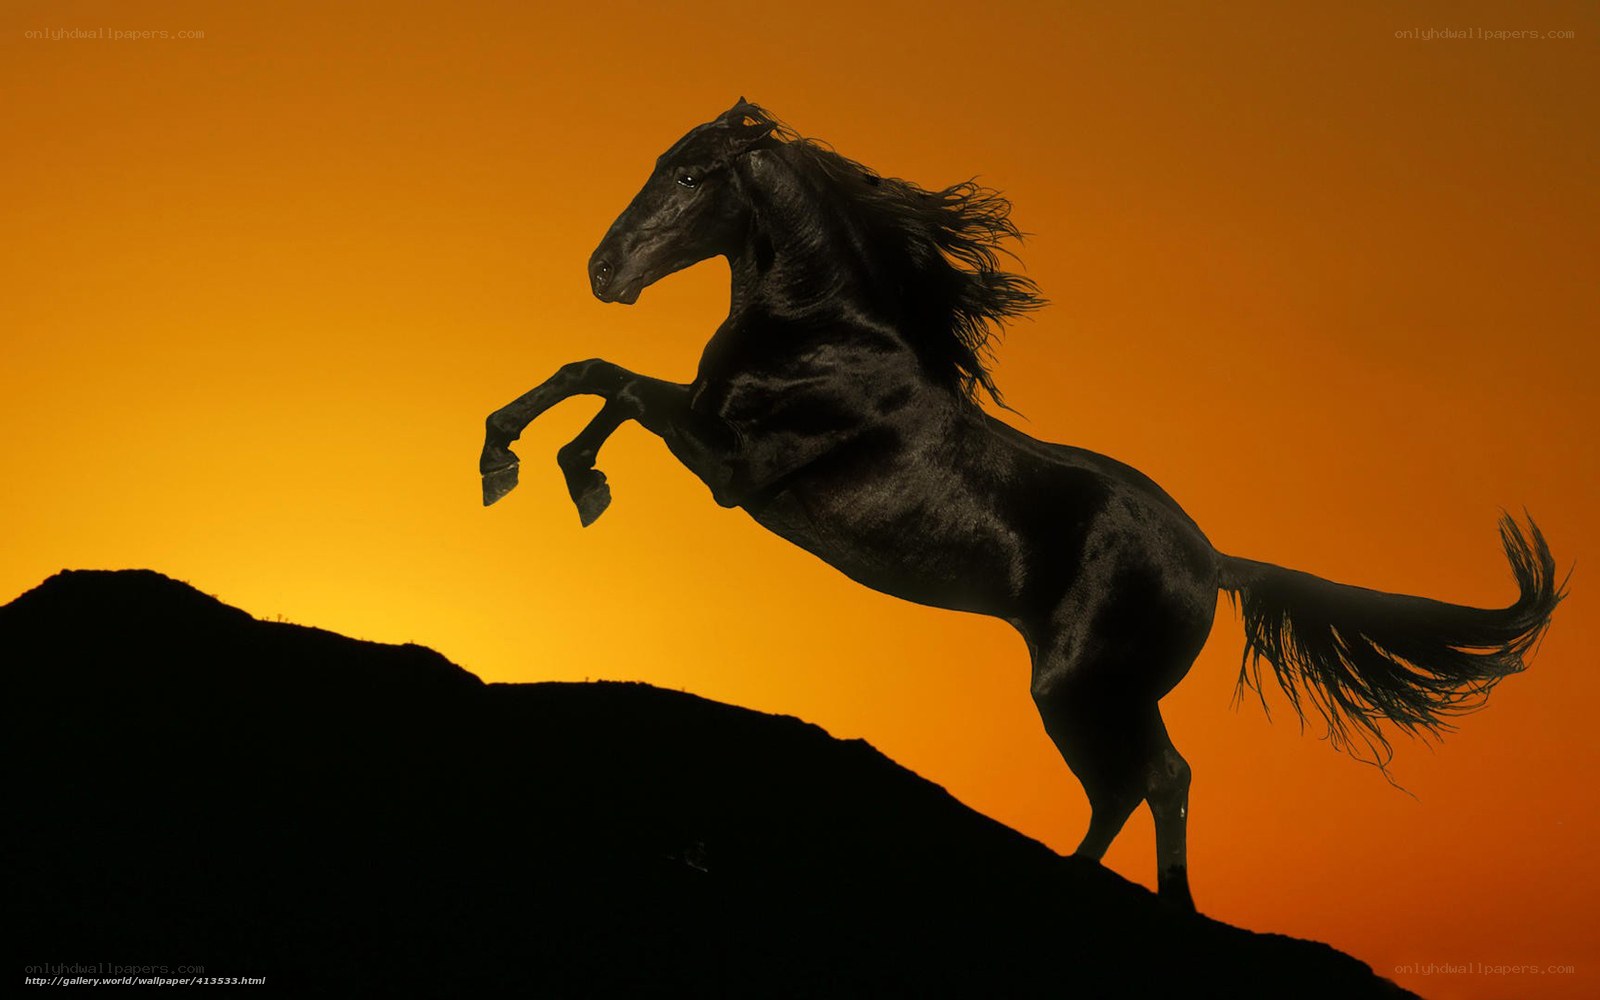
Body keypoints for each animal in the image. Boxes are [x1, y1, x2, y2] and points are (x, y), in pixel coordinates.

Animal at [479, 99, 1562, 910]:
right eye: (663, 163)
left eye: (693, 177)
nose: (603, 271)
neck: (822, 333)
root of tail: (1214, 560)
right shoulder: (709, 435)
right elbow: (590, 375)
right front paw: (519, 465)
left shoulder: (731, 468)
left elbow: (612, 384)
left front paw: (558, 477)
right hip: (1098, 689)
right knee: (1144, 782)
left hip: (1082, 685)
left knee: (1153, 778)